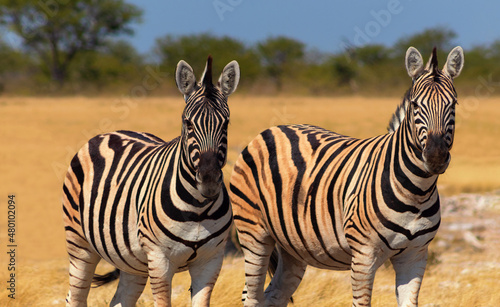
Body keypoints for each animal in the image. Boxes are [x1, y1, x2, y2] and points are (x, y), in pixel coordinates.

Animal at [61, 56, 241, 307]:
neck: (198, 208)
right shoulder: (159, 259)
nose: (209, 181)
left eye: (225, 124)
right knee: (75, 296)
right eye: (188, 123)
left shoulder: (211, 261)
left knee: (120, 300)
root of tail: (111, 133)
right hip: (79, 243)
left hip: (132, 260)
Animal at [229, 46, 462, 307]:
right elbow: (362, 302)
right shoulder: (364, 253)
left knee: (273, 295)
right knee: (251, 295)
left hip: (292, 246)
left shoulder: (416, 255)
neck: (417, 191)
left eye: (453, 104)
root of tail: (271, 130)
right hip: (253, 232)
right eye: (415, 105)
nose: (435, 156)